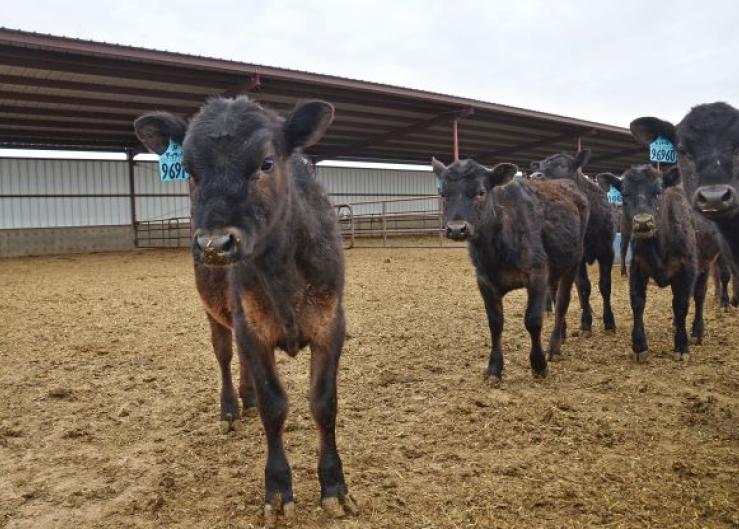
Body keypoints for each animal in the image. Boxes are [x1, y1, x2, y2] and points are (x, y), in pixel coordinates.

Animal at [134, 97, 356, 526]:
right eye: (190, 171)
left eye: (267, 163)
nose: (215, 244)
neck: (283, 270)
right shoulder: (251, 326)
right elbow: (274, 405)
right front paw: (278, 491)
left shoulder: (330, 325)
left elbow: (324, 403)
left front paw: (334, 487)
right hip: (216, 312)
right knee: (224, 354)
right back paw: (231, 407)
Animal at [432, 157, 589, 383]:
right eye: (443, 193)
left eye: (481, 191)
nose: (456, 229)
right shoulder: (484, 282)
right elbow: (495, 323)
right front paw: (494, 367)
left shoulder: (537, 274)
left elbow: (533, 320)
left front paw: (538, 364)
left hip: (574, 261)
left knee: (562, 303)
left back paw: (554, 347)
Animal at [530, 150, 616, 336]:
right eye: (540, 165)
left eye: (562, 165)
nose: (534, 176)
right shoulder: (580, 256)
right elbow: (584, 287)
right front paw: (586, 323)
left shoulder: (608, 251)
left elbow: (605, 286)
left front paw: (609, 322)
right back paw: (548, 309)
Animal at [597, 166, 698, 361]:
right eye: (625, 194)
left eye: (659, 192)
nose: (643, 222)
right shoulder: (637, 267)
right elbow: (637, 303)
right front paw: (639, 346)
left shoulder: (688, 269)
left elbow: (682, 304)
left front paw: (681, 345)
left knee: (699, 296)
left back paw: (698, 331)